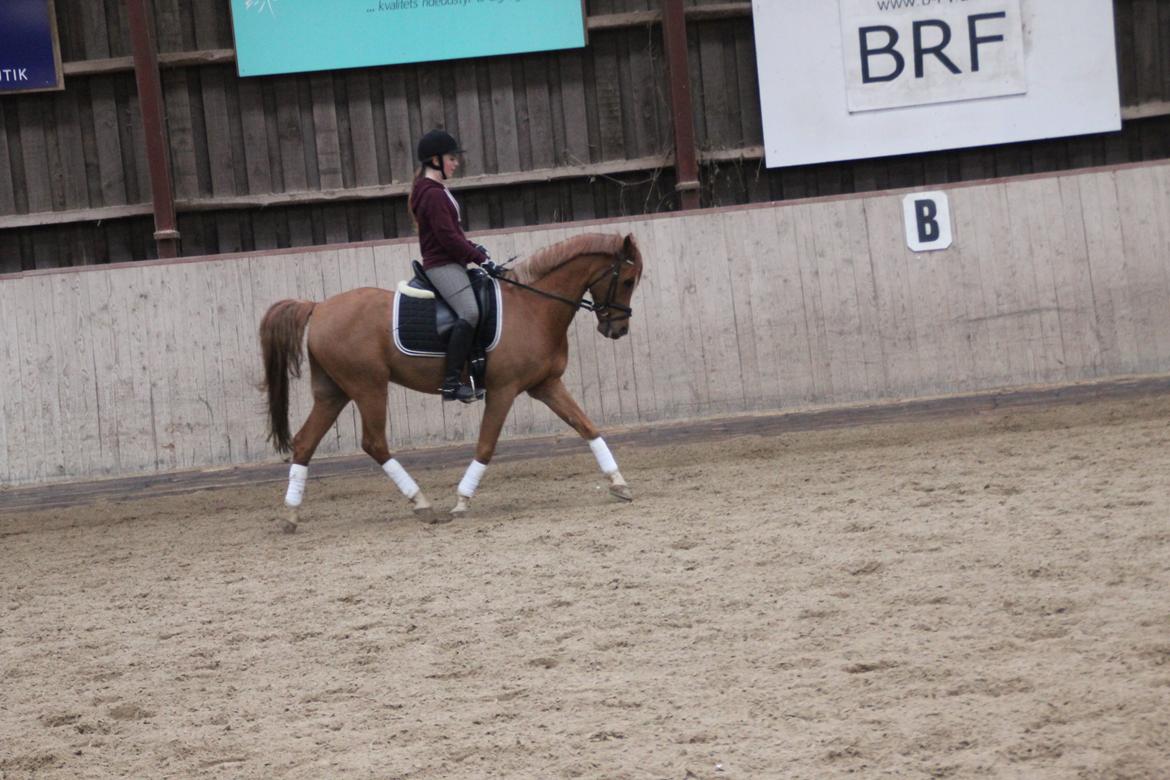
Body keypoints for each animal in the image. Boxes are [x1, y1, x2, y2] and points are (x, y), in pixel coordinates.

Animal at [257, 230, 645, 530]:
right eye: (627, 281)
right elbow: (486, 445)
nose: (618, 329)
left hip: (333, 391)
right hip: (368, 386)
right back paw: (421, 503)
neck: (533, 307)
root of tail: (318, 307)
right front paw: (461, 501)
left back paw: (291, 516)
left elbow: (587, 427)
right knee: (374, 443)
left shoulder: (545, 385)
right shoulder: (504, 390)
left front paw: (619, 483)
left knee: (304, 443)